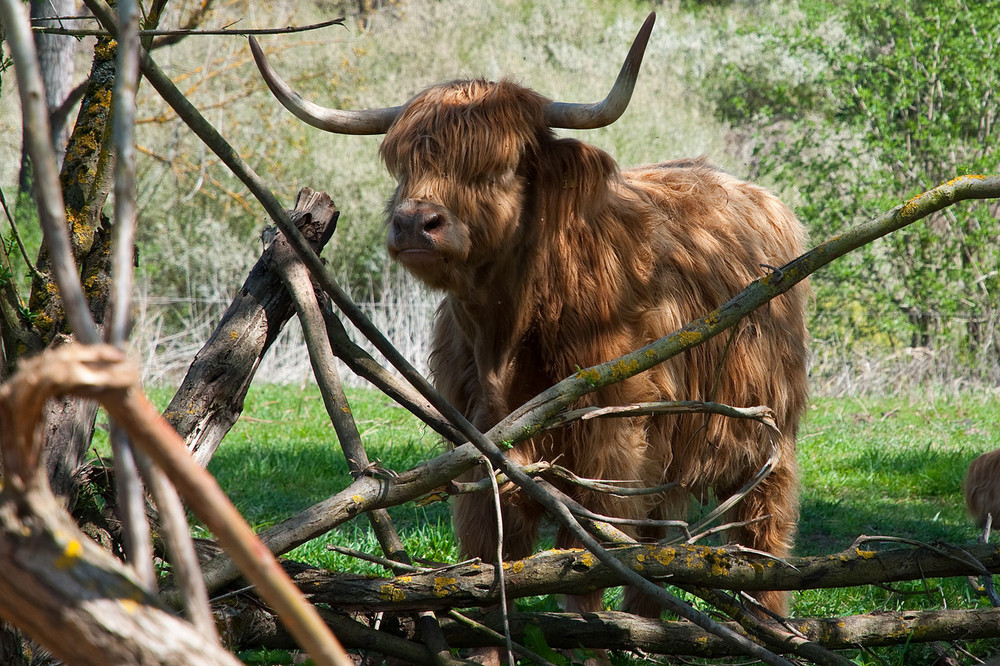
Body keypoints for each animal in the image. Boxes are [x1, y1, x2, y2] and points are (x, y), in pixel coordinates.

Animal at [252, 11, 812, 616]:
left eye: (501, 167)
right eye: (405, 165)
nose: (415, 222)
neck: (505, 334)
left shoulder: (611, 450)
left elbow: (584, 569)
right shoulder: (476, 446)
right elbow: (490, 561)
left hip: (767, 438)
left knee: (762, 536)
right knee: (665, 539)